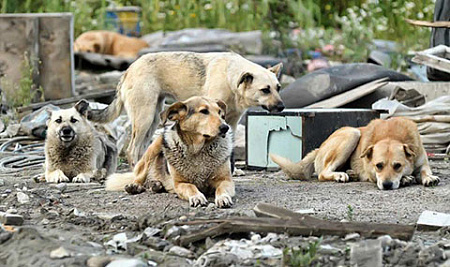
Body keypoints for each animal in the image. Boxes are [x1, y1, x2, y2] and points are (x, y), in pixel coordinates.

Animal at [270, 118, 440, 191]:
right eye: (378, 166)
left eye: (397, 165)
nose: (386, 185)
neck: (391, 136)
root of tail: (320, 147)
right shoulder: (372, 173)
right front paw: (405, 178)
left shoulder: (421, 161)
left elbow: (424, 170)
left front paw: (428, 177)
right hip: (352, 133)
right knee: (323, 173)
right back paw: (340, 175)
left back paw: (351, 173)